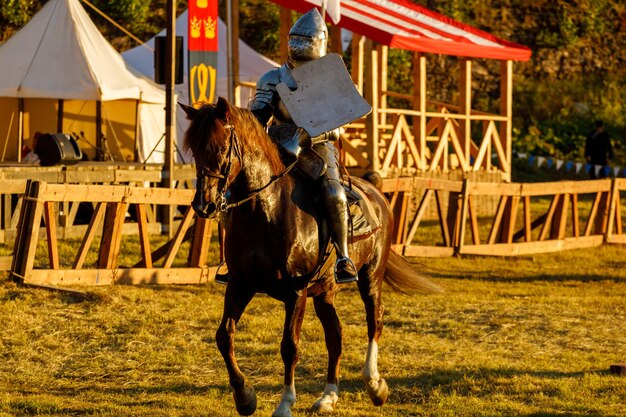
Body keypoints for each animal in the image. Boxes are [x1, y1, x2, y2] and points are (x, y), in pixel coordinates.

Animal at [180, 97, 438, 416]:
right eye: (194, 150)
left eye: (219, 148)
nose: (203, 205)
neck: (266, 209)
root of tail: (375, 190)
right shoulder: (240, 285)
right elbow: (224, 335)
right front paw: (244, 396)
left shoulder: (296, 291)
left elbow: (290, 346)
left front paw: (284, 404)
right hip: (325, 291)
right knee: (335, 335)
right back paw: (328, 396)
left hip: (370, 277)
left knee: (374, 320)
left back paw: (374, 385)